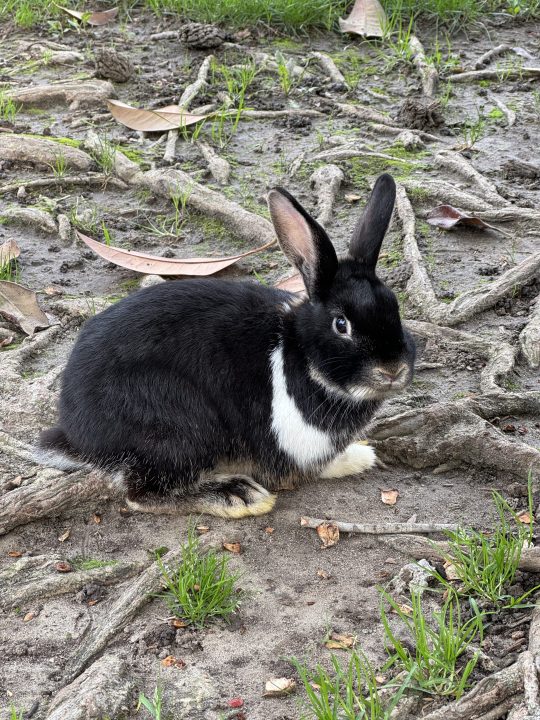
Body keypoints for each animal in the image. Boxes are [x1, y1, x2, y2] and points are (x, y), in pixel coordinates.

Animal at [36, 173, 415, 519]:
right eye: (341, 324)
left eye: (395, 307)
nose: (393, 370)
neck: (301, 355)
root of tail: (77, 432)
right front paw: (359, 458)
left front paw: (361, 454)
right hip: (177, 425)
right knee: (142, 494)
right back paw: (238, 496)